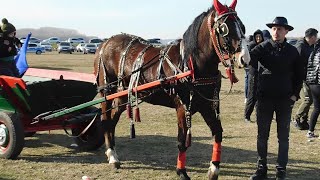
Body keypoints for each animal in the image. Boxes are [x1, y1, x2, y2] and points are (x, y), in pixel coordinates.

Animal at [92, 0, 248, 179]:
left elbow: (218, 132)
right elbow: (182, 141)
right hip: (107, 91)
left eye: (243, 27)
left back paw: (113, 154)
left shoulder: (206, 105)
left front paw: (214, 168)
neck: (191, 63)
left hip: (123, 94)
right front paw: (181, 171)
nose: (244, 57)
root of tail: (105, 43)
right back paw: (111, 154)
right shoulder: (182, 107)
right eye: (224, 29)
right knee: (106, 119)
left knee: (112, 119)